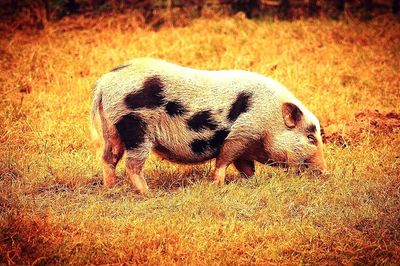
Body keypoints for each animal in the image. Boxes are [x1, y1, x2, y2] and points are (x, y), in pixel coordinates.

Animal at [92, 58, 326, 192]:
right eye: (310, 137)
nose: (325, 172)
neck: (271, 121)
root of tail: (103, 84)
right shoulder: (242, 133)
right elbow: (224, 159)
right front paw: (218, 185)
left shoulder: (246, 146)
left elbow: (246, 167)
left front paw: (251, 183)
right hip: (134, 128)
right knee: (131, 164)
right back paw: (147, 193)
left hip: (111, 128)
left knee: (108, 158)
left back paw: (111, 188)